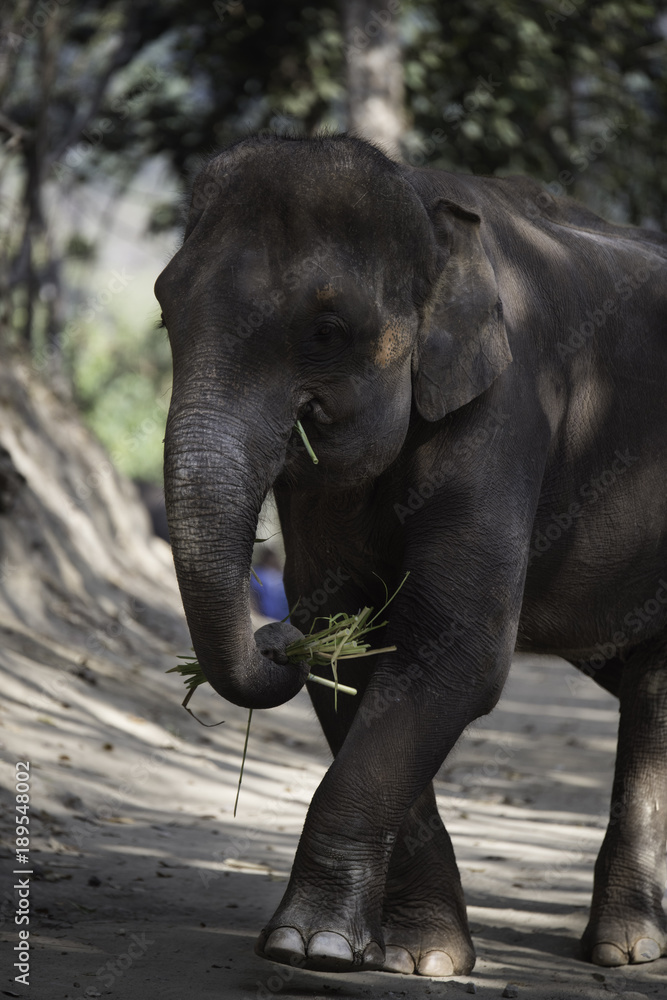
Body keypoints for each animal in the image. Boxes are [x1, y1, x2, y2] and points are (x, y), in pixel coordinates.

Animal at [155, 133, 667, 976]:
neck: (425, 200)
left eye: (327, 330)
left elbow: (454, 645)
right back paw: (627, 944)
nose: (273, 635)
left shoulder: (508, 406)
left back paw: (626, 951)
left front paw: (310, 946)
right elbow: (359, 646)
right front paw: (416, 955)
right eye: (166, 311)